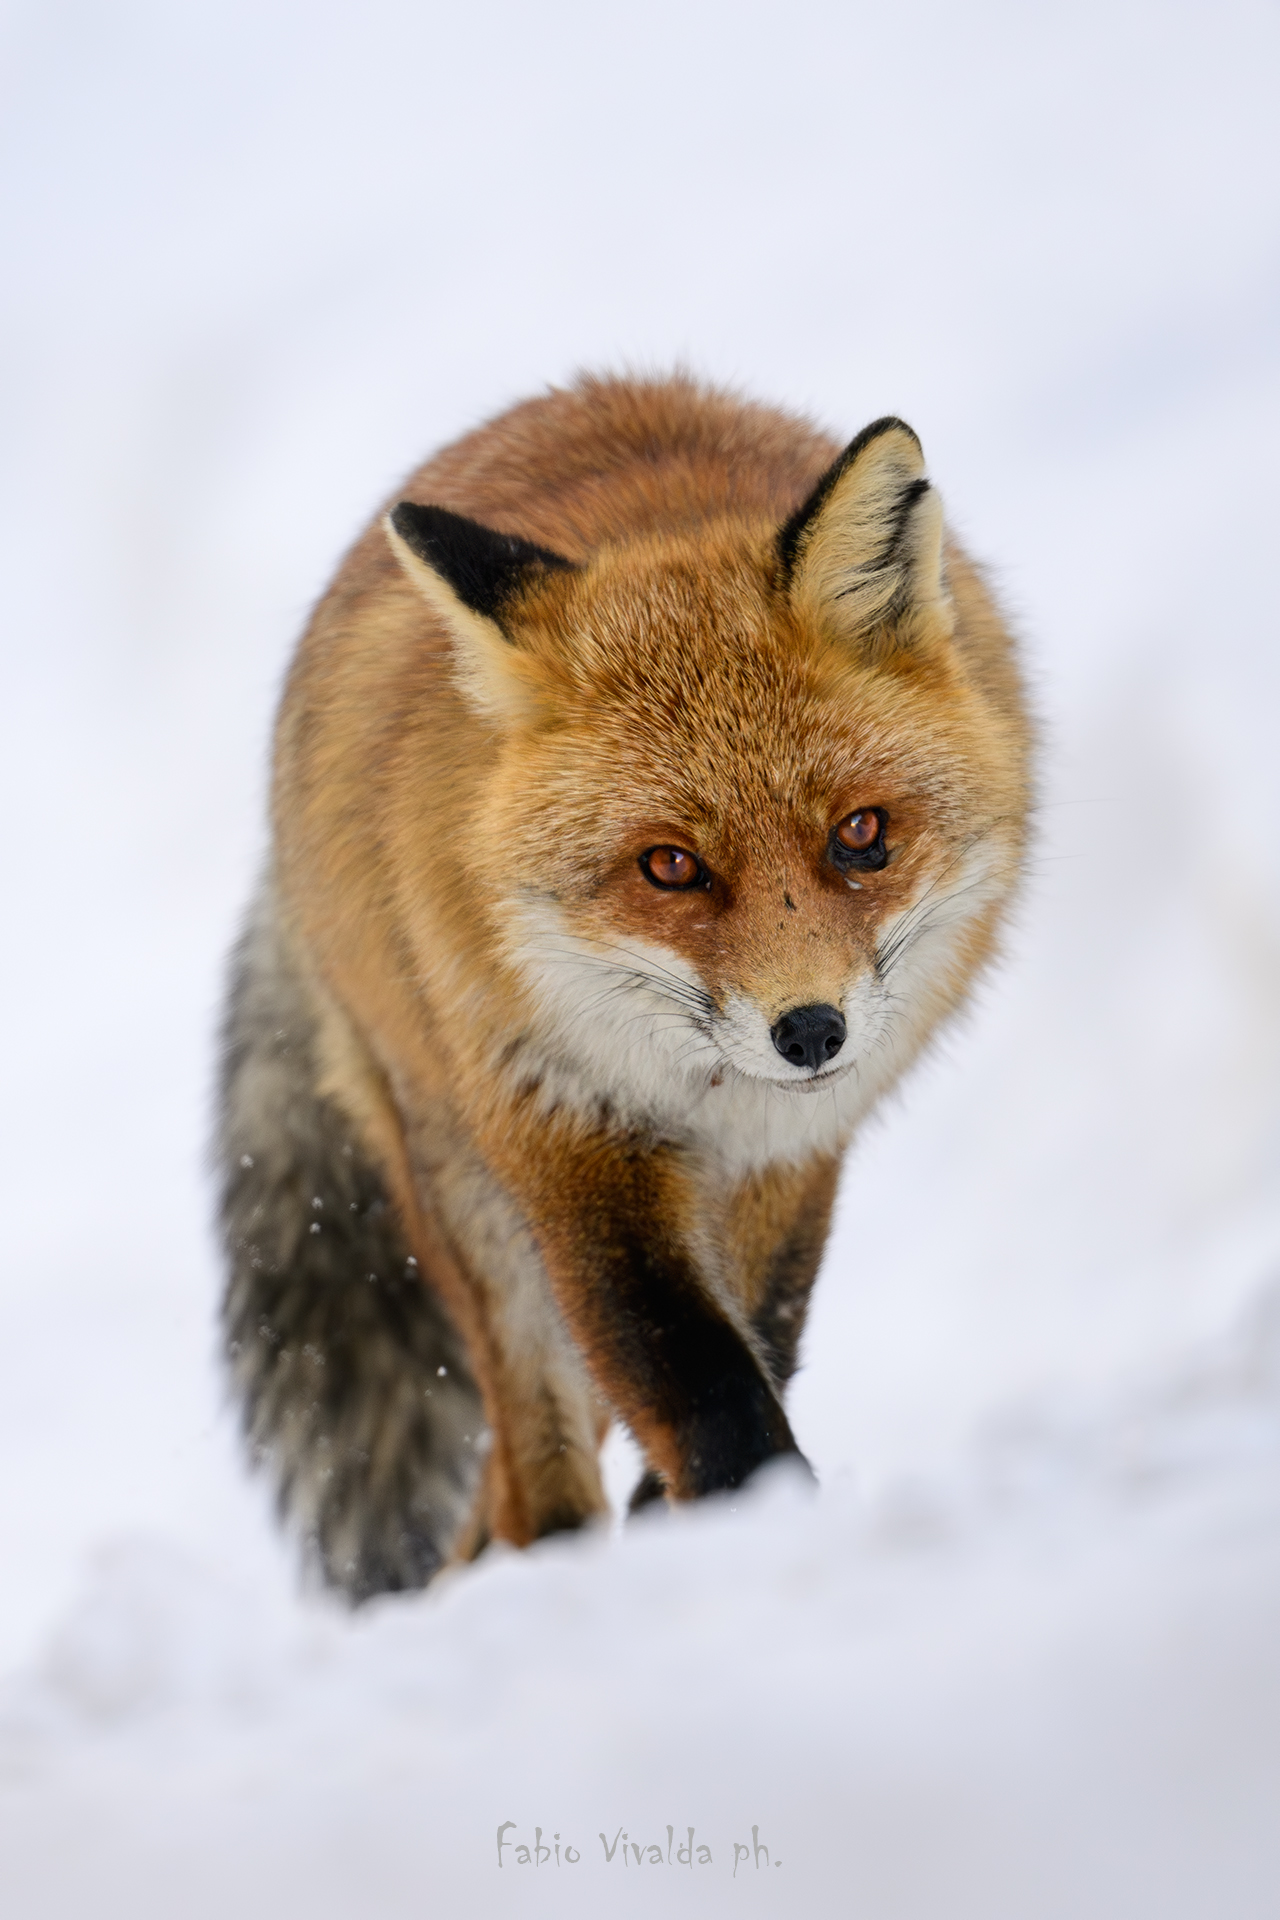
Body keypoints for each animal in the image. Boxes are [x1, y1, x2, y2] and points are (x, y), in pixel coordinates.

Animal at [217, 372, 1032, 1600]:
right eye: (669, 867)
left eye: (860, 834)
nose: (810, 1032)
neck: (702, 1096)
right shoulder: (564, 1131)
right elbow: (693, 1379)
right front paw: (745, 1527)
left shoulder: (791, 1156)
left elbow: (759, 1339)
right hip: (463, 1191)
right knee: (531, 1469)